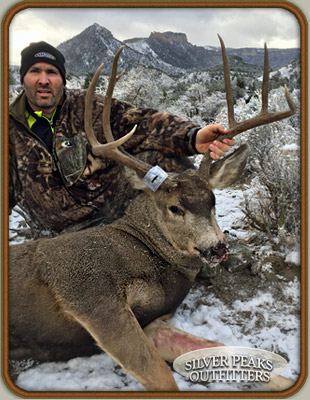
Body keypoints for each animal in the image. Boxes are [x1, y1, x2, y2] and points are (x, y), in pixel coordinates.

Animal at [7, 37, 296, 390]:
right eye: (174, 207)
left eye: (212, 200)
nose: (217, 247)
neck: (147, 252)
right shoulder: (88, 291)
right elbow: (162, 377)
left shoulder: (153, 322)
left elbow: (222, 350)